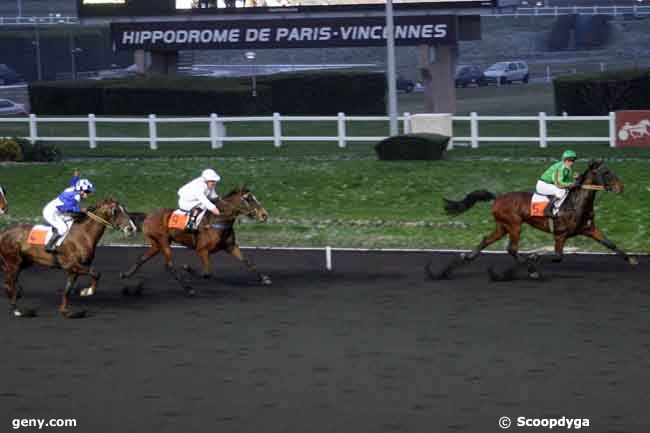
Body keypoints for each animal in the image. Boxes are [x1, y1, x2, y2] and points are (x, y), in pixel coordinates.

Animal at [0, 197, 135, 316]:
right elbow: (96, 273)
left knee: (10, 282)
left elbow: (67, 290)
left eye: (125, 209)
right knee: (9, 284)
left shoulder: (74, 270)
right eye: (115, 211)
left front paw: (65, 311)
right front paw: (87, 291)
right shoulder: (72, 265)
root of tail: (4, 232)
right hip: (13, 263)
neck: (83, 234)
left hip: (24, 262)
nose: (131, 228)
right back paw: (18, 310)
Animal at [120, 186, 270, 294]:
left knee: (142, 258)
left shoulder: (231, 246)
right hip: (163, 241)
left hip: (157, 244)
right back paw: (188, 289)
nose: (264, 215)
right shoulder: (202, 250)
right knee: (169, 265)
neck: (218, 220)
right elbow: (206, 273)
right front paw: (188, 268)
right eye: (248, 199)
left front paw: (265, 278)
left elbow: (248, 262)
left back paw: (126, 274)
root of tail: (148, 216)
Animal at [428, 160, 636, 278]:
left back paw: (462, 260)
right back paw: (528, 269)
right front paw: (534, 259)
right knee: (512, 249)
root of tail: (497, 197)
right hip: (514, 225)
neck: (576, 203)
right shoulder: (560, 235)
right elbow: (557, 256)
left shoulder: (589, 229)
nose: (621, 187)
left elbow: (611, 244)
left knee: (486, 240)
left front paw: (632, 260)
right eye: (606, 172)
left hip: (502, 226)